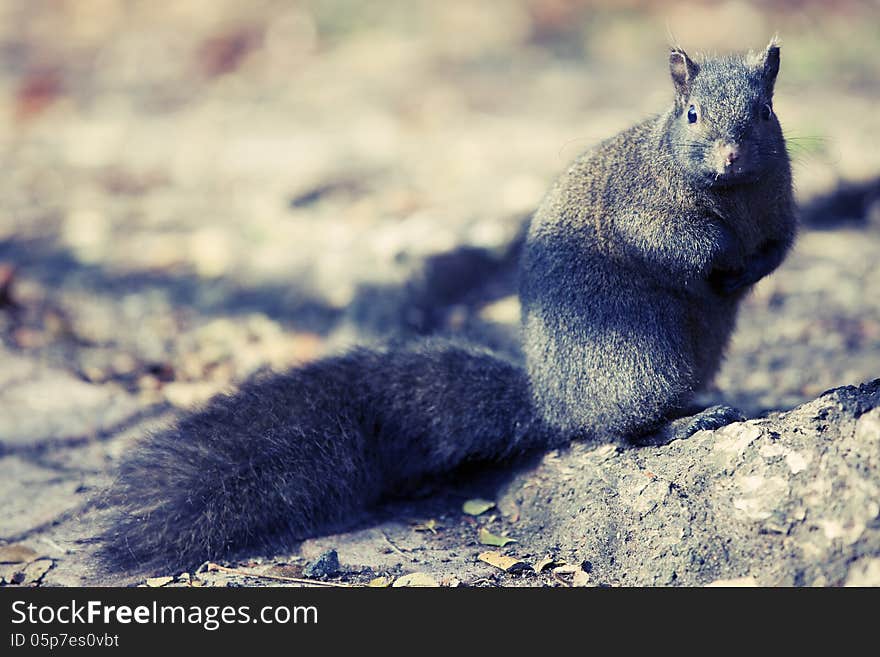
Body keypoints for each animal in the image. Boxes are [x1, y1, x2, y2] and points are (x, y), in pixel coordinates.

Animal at [98, 42, 796, 576]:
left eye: (764, 110)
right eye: (692, 114)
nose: (731, 155)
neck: (733, 195)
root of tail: (551, 401)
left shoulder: (780, 210)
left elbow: (778, 248)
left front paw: (748, 270)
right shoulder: (641, 205)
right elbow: (671, 243)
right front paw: (721, 258)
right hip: (639, 355)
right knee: (617, 431)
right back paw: (686, 421)